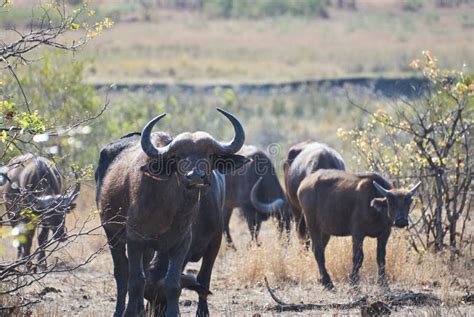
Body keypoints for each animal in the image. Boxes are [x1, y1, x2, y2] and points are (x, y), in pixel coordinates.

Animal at [97, 108, 248, 316]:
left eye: (210, 155)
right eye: (178, 156)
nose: (196, 177)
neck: (167, 209)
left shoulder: (186, 244)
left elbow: (176, 282)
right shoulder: (134, 240)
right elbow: (135, 281)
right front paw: (130, 311)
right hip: (111, 234)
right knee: (121, 274)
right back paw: (121, 310)